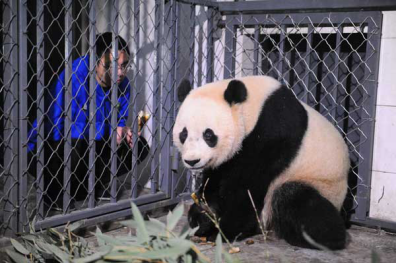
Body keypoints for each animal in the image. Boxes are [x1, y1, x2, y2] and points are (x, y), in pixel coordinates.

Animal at [173, 75, 350, 251]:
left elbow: (248, 187)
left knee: (293, 198)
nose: (192, 161)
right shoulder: (227, 159)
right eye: (184, 134)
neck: (253, 108)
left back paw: (325, 239)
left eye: (208, 135)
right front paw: (203, 217)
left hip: (322, 184)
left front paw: (223, 231)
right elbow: (216, 180)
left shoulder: (273, 134)